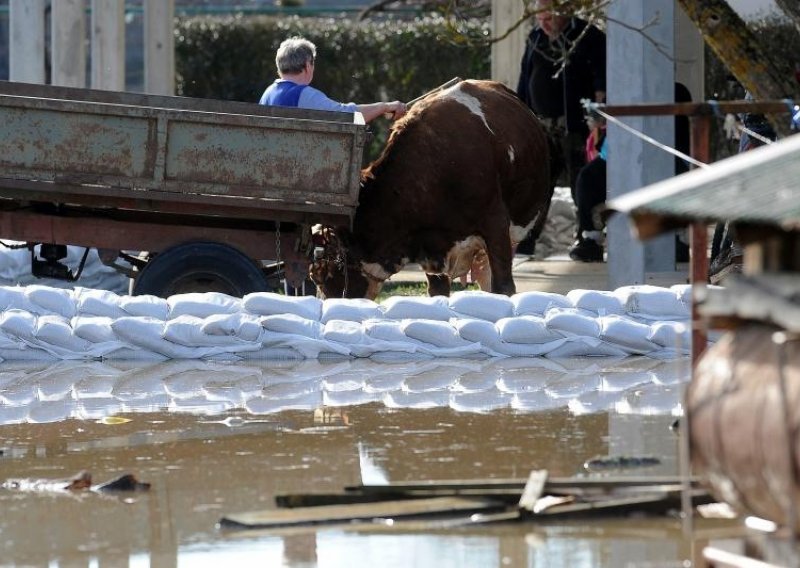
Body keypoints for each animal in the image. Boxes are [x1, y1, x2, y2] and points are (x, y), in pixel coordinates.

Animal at [310, 81, 552, 302]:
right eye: (314, 276)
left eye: (322, 275)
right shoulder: (429, 248)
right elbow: (438, 291)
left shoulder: (496, 225)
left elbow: (503, 287)